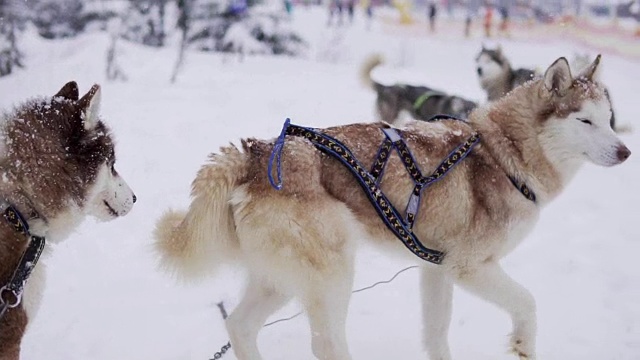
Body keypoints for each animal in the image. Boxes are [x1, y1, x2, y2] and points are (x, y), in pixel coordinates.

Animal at [155, 56, 632, 360]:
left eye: (608, 118)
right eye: (584, 121)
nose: (626, 152)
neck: (505, 154)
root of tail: (255, 153)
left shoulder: (436, 270)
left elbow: (437, 334)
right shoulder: (469, 267)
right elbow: (527, 303)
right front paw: (524, 345)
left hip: (280, 279)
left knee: (239, 326)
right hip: (334, 272)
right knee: (326, 345)